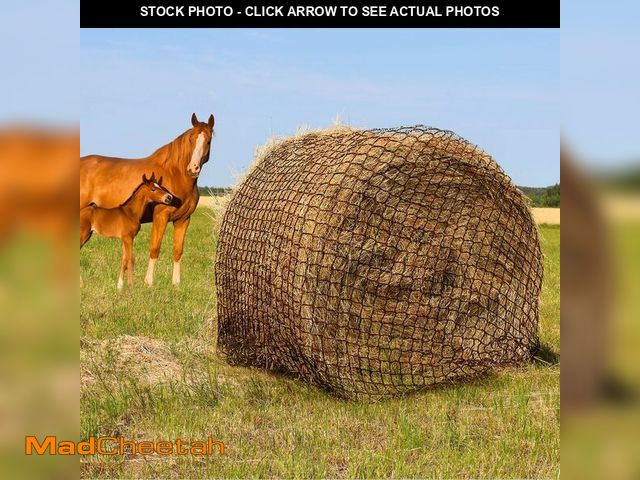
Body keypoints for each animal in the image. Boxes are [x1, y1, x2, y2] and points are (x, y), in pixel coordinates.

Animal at [80, 113, 214, 286]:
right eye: (191, 139)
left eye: (208, 141)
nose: (193, 168)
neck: (175, 174)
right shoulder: (160, 217)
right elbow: (154, 248)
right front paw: (148, 283)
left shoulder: (183, 219)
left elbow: (178, 251)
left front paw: (176, 284)